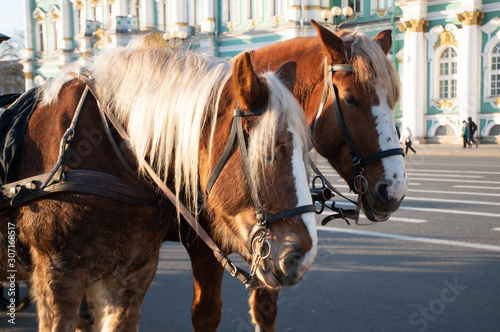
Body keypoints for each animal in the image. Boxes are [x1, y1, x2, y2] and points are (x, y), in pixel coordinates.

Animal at [174, 21, 408, 332]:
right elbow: (206, 313)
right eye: (350, 98)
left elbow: (265, 308)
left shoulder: (267, 246)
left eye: (394, 99)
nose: (394, 191)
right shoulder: (204, 244)